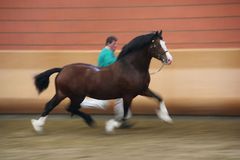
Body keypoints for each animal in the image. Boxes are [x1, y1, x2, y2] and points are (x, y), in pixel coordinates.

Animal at [31, 30, 172, 133]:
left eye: (164, 42)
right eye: (157, 45)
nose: (169, 59)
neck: (132, 67)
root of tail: (62, 69)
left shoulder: (142, 90)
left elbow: (159, 98)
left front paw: (165, 117)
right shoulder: (128, 95)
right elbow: (124, 114)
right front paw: (111, 125)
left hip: (62, 94)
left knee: (51, 106)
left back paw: (38, 125)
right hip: (76, 96)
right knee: (70, 107)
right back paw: (89, 120)